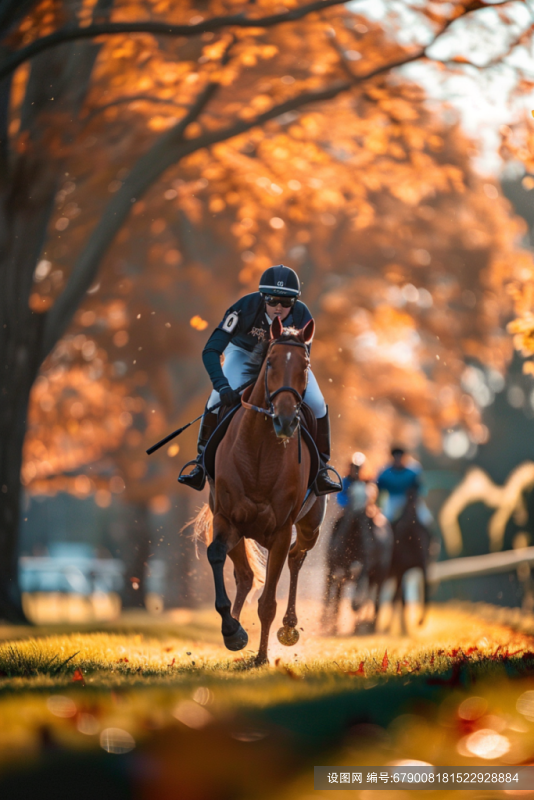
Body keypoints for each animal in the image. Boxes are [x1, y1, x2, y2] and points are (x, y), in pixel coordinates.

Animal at [192, 316, 326, 664]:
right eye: (270, 362)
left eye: (306, 366)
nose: (285, 420)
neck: (259, 454)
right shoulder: (226, 519)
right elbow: (215, 556)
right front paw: (233, 632)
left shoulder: (280, 532)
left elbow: (267, 603)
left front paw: (262, 656)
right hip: (237, 530)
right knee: (245, 575)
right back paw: (237, 625)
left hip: (310, 527)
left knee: (296, 556)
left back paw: (289, 627)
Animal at [320, 484, 396, 636]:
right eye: (351, 494)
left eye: (366, 496)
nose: (356, 512)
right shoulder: (336, 569)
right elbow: (335, 598)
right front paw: (331, 625)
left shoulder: (364, 568)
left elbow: (357, 601)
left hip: (380, 574)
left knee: (376, 596)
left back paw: (370, 626)